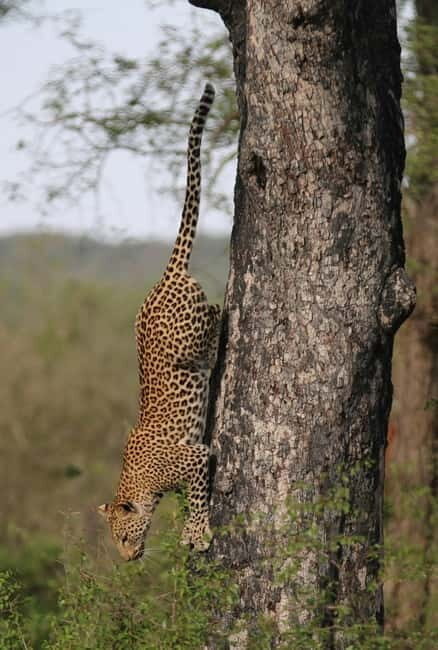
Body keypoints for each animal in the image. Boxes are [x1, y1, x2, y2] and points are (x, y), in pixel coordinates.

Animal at [98, 83, 221, 561]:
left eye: (123, 537)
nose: (128, 560)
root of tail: (165, 276)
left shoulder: (198, 457)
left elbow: (200, 496)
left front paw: (197, 532)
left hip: (191, 334)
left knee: (217, 315)